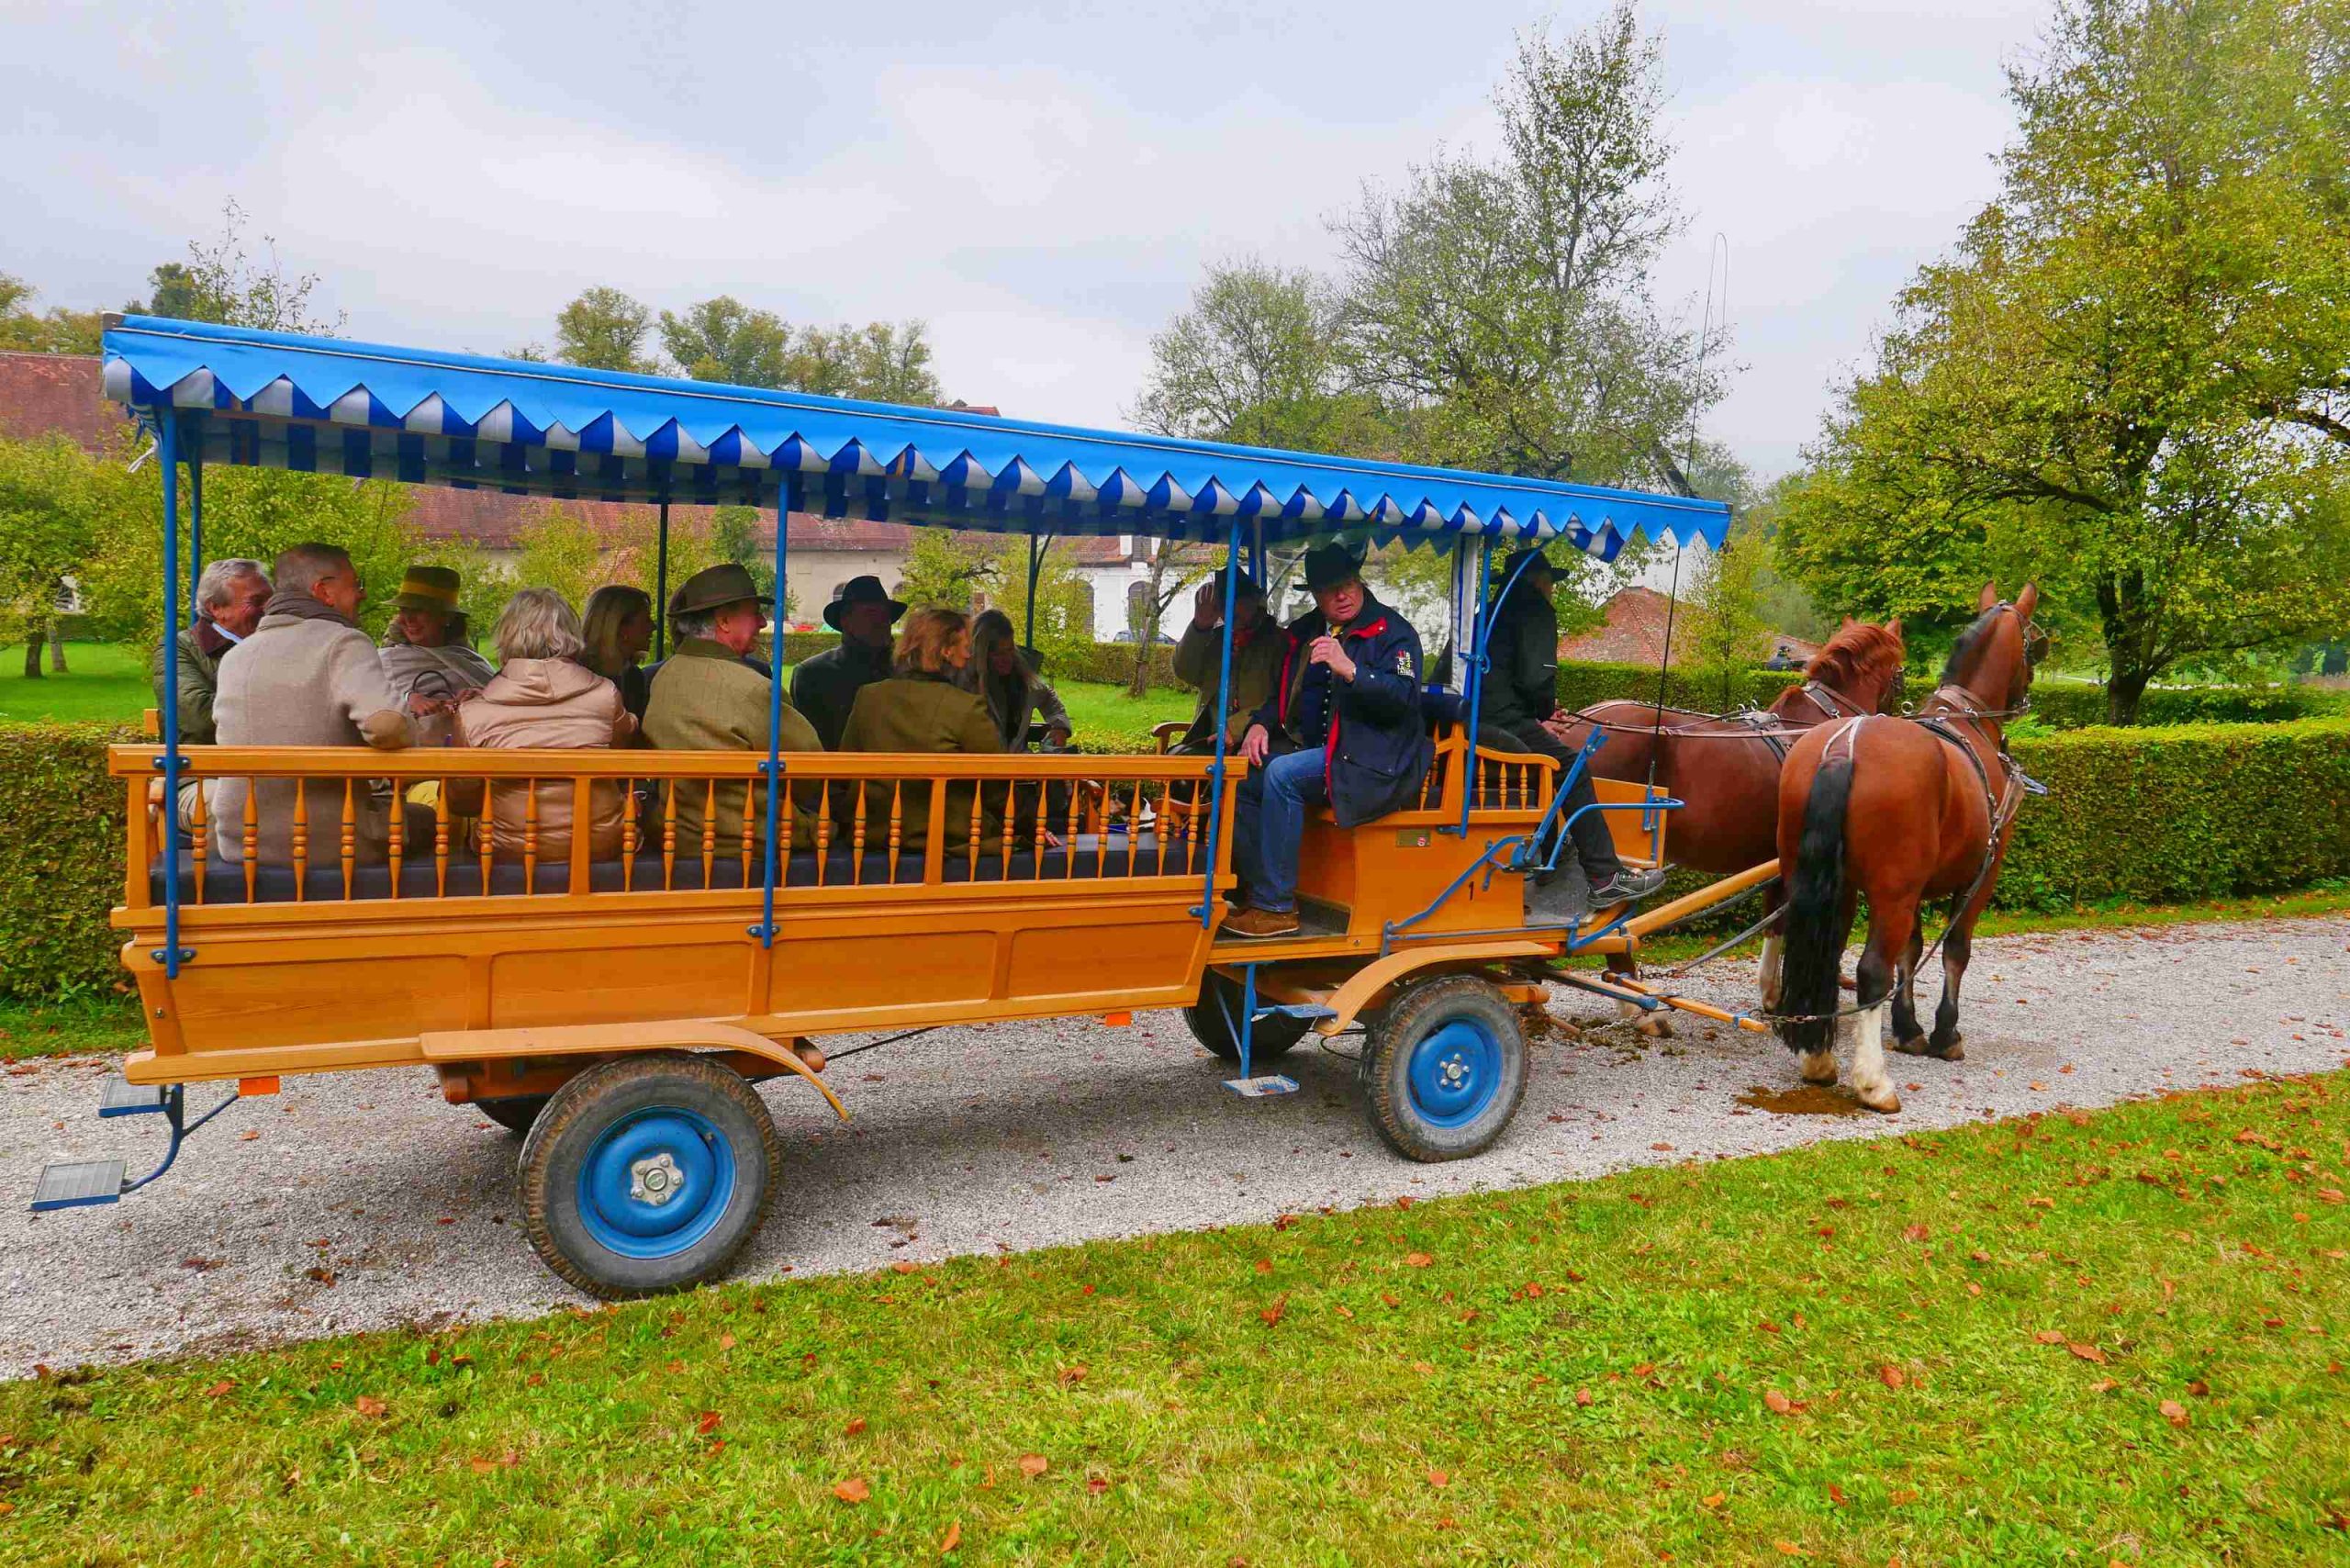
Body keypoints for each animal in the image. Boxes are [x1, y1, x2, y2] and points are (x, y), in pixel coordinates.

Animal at [1769, 583, 2042, 1113]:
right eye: (2033, 645)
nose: (2026, 696)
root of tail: (1843, 746)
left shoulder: (1914, 887)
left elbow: (1910, 952)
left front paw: (1908, 1027)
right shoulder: (1981, 875)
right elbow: (1954, 952)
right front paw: (1944, 1033)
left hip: (1823, 884)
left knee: (1823, 954)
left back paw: (1819, 1058)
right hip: (1889, 893)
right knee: (1870, 969)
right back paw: (1873, 1081)